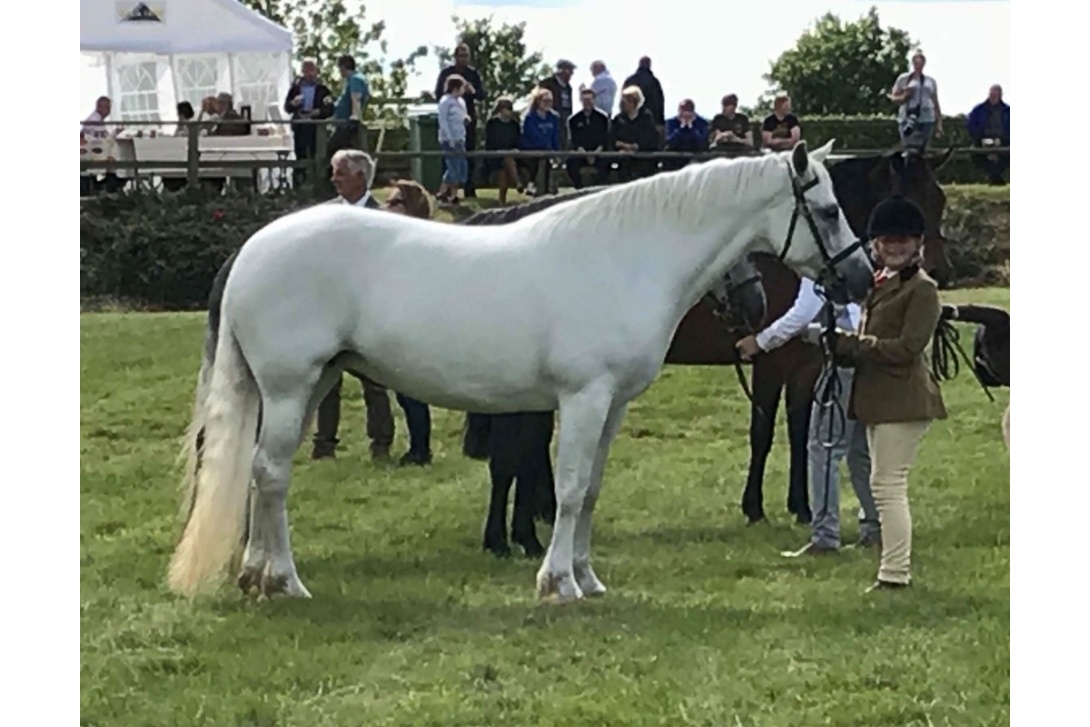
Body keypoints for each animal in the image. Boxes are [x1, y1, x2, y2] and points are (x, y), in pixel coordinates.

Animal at [167, 140, 867, 601]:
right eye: (830, 211)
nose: (857, 277)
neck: (623, 256)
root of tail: (252, 248)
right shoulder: (584, 398)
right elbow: (570, 488)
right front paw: (557, 583)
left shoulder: (612, 405)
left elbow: (591, 490)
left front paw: (587, 577)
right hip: (290, 387)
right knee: (270, 473)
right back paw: (285, 582)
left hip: (310, 385)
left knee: (261, 474)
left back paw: (257, 575)